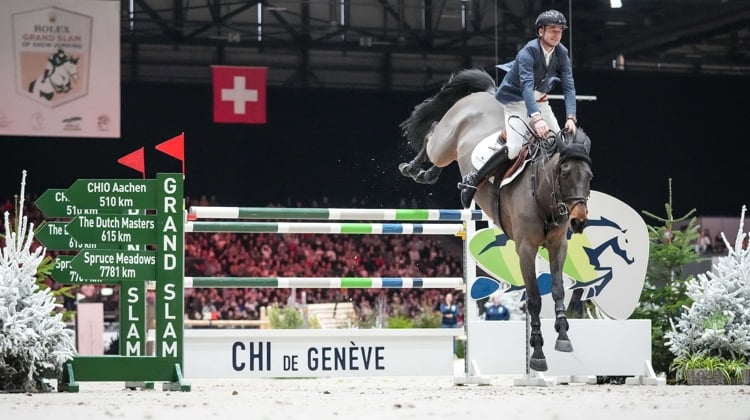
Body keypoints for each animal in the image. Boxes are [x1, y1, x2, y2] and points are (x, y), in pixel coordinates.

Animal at [400, 68, 592, 370]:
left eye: (589, 177)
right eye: (564, 172)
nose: (579, 221)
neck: (542, 192)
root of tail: (486, 94)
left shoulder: (557, 245)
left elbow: (558, 290)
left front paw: (563, 336)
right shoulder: (525, 248)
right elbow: (534, 299)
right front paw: (537, 352)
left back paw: (429, 175)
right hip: (445, 142)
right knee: (433, 134)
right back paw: (414, 168)